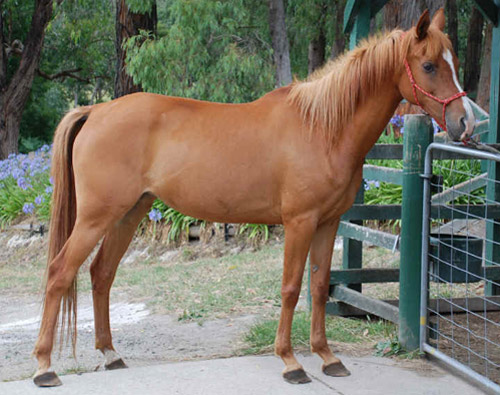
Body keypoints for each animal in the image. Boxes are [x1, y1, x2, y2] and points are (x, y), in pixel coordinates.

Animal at [34, 8, 472, 386]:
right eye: (429, 65)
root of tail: (96, 111)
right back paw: (44, 367)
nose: (466, 122)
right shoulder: (300, 222)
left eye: (453, 60)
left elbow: (319, 287)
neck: (322, 128)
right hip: (96, 216)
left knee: (101, 274)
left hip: (129, 212)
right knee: (59, 272)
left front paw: (327, 358)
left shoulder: (328, 223)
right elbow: (291, 288)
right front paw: (291, 362)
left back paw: (110, 354)